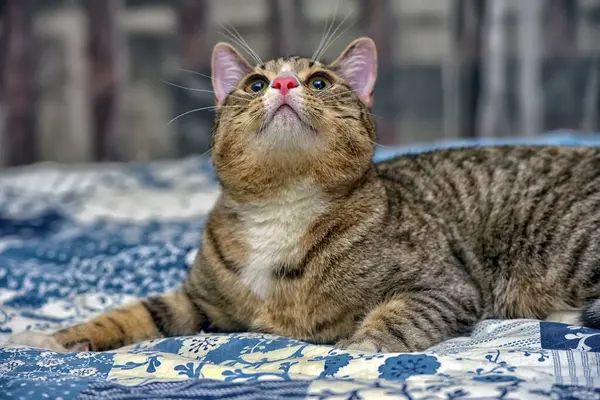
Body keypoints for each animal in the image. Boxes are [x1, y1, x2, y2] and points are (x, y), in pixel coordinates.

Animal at [7, 36, 600, 352]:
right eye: (254, 83)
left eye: (319, 82)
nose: (285, 84)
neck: (283, 208)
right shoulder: (197, 302)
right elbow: (131, 315)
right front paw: (51, 338)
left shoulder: (443, 285)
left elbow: (397, 316)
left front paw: (360, 348)